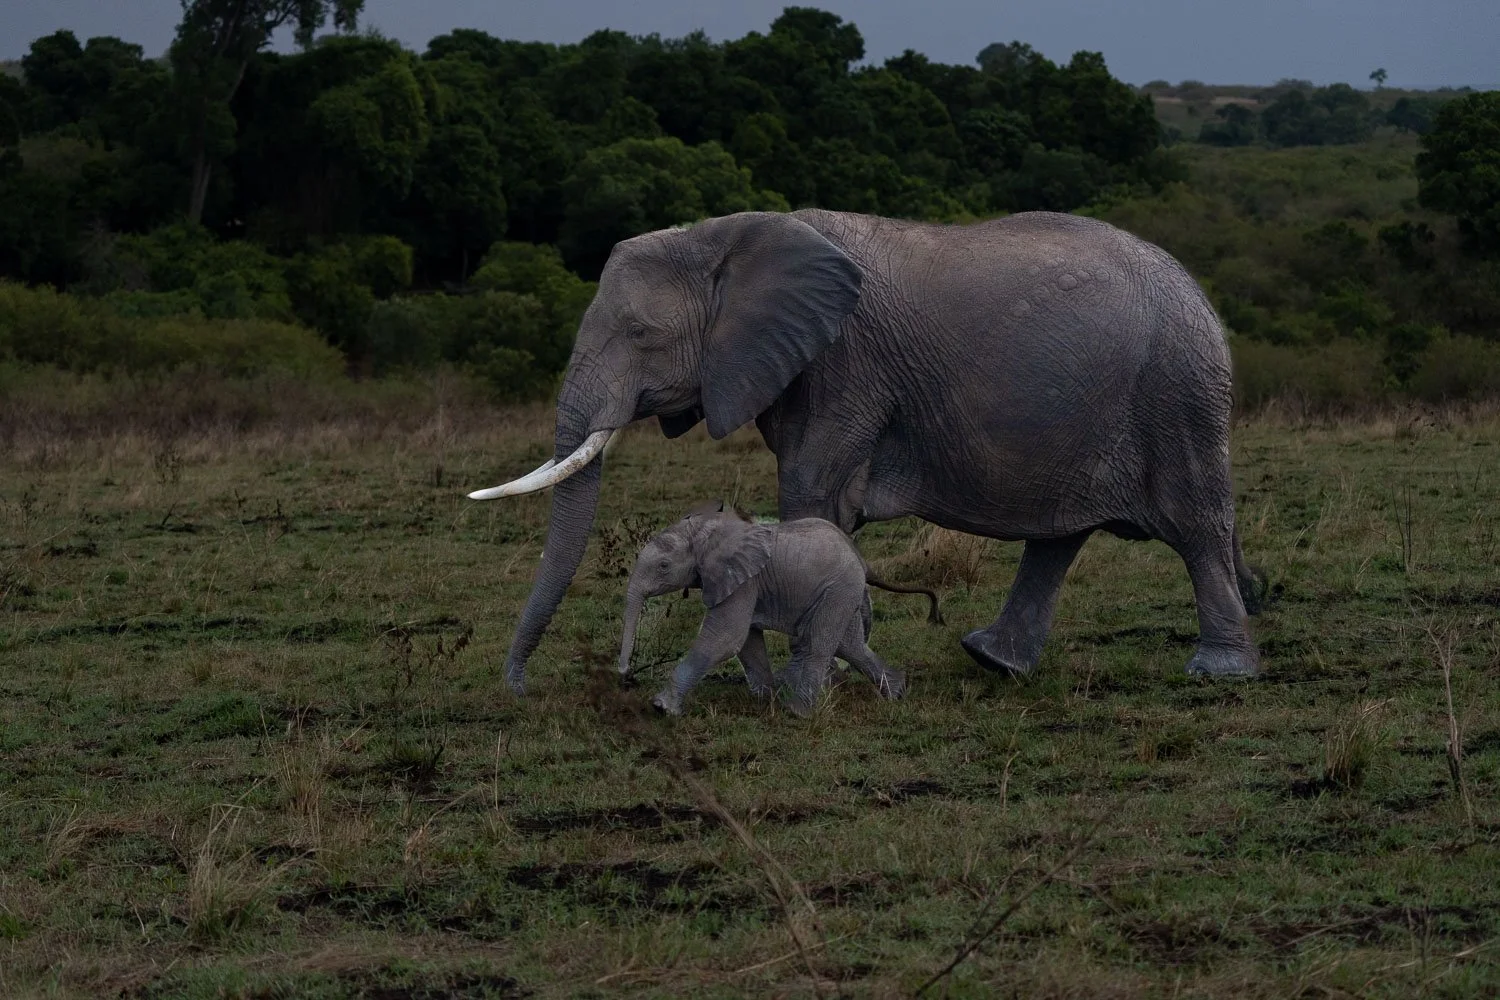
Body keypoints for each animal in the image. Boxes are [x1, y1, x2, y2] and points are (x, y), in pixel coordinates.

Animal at [617, 500, 939, 715]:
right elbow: (746, 640)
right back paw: (897, 692)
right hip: (842, 590)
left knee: (819, 643)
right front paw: (765, 702)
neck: (705, 529)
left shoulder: (744, 580)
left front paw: (661, 707)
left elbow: (725, 638)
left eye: (663, 566)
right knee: (850, 645)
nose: (625, 672)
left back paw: (797, 712)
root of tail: (859, 556)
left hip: (839, 587)